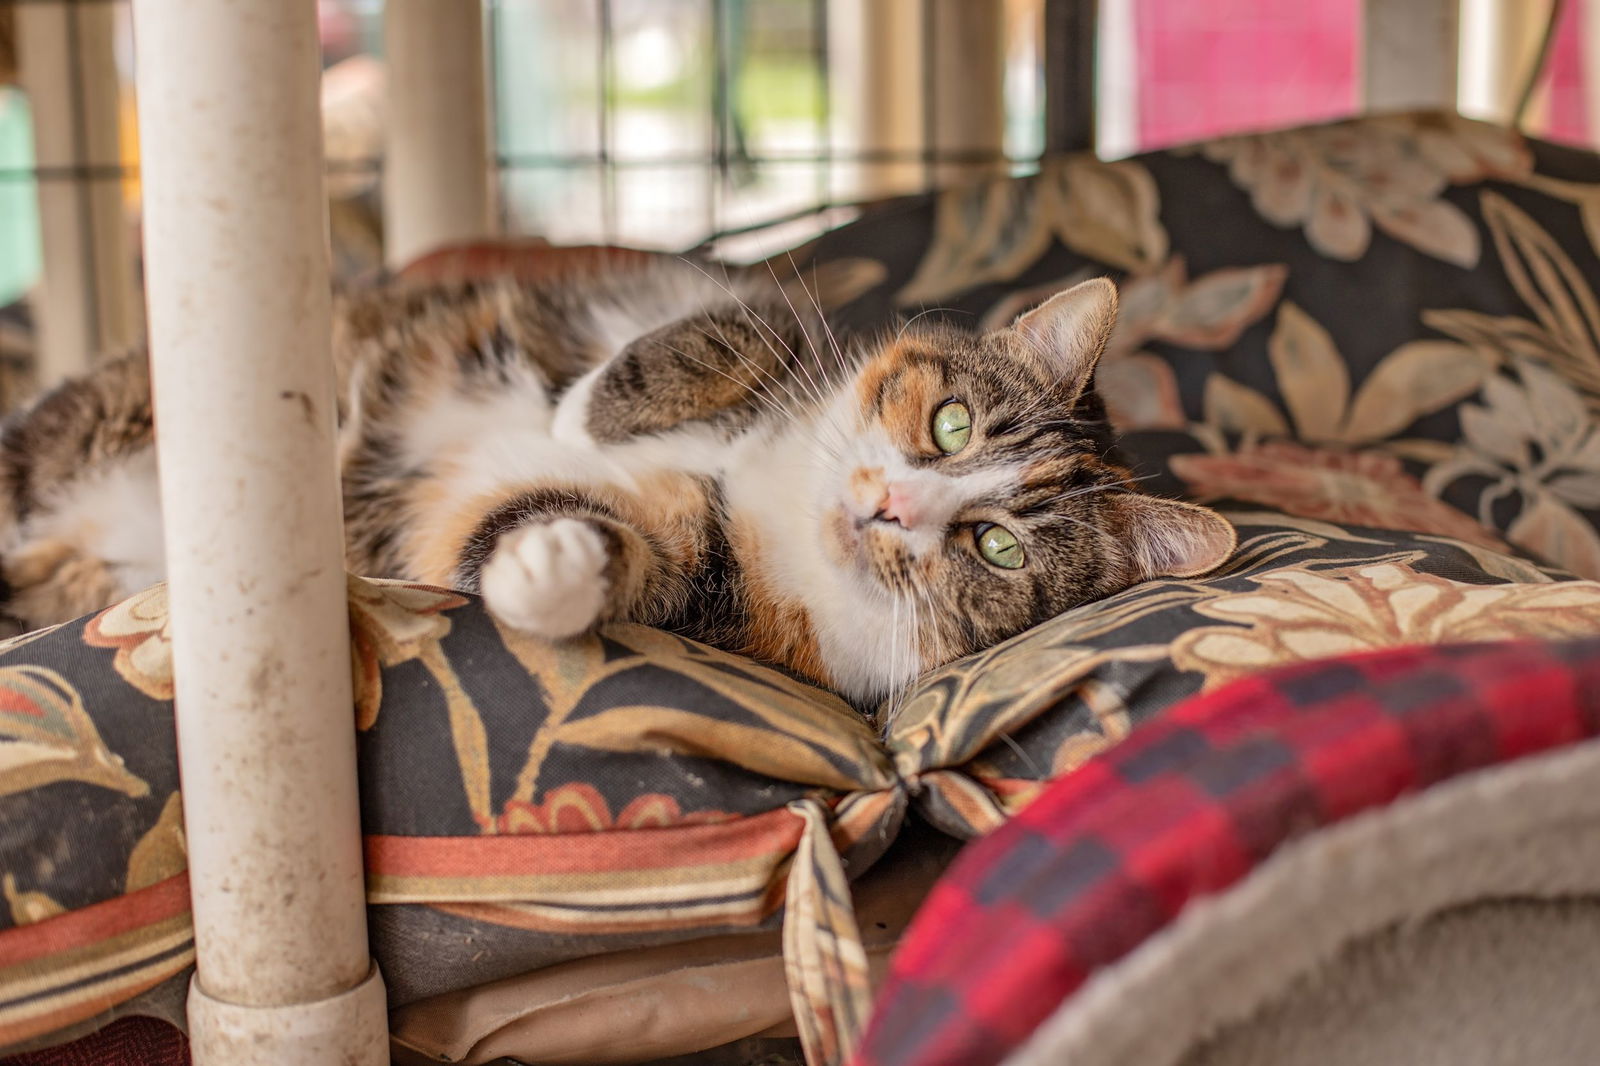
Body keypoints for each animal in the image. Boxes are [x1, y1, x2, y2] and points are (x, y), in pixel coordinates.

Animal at [0, 259, 1235, 704]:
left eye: (998, 547)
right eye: (950, 421)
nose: (890, 506)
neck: (781, 496)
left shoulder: (712, 589)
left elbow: (543, 537)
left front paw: (554, 562)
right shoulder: (762, 322)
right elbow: (706, 337)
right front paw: (571, 411)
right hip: (81, 429)